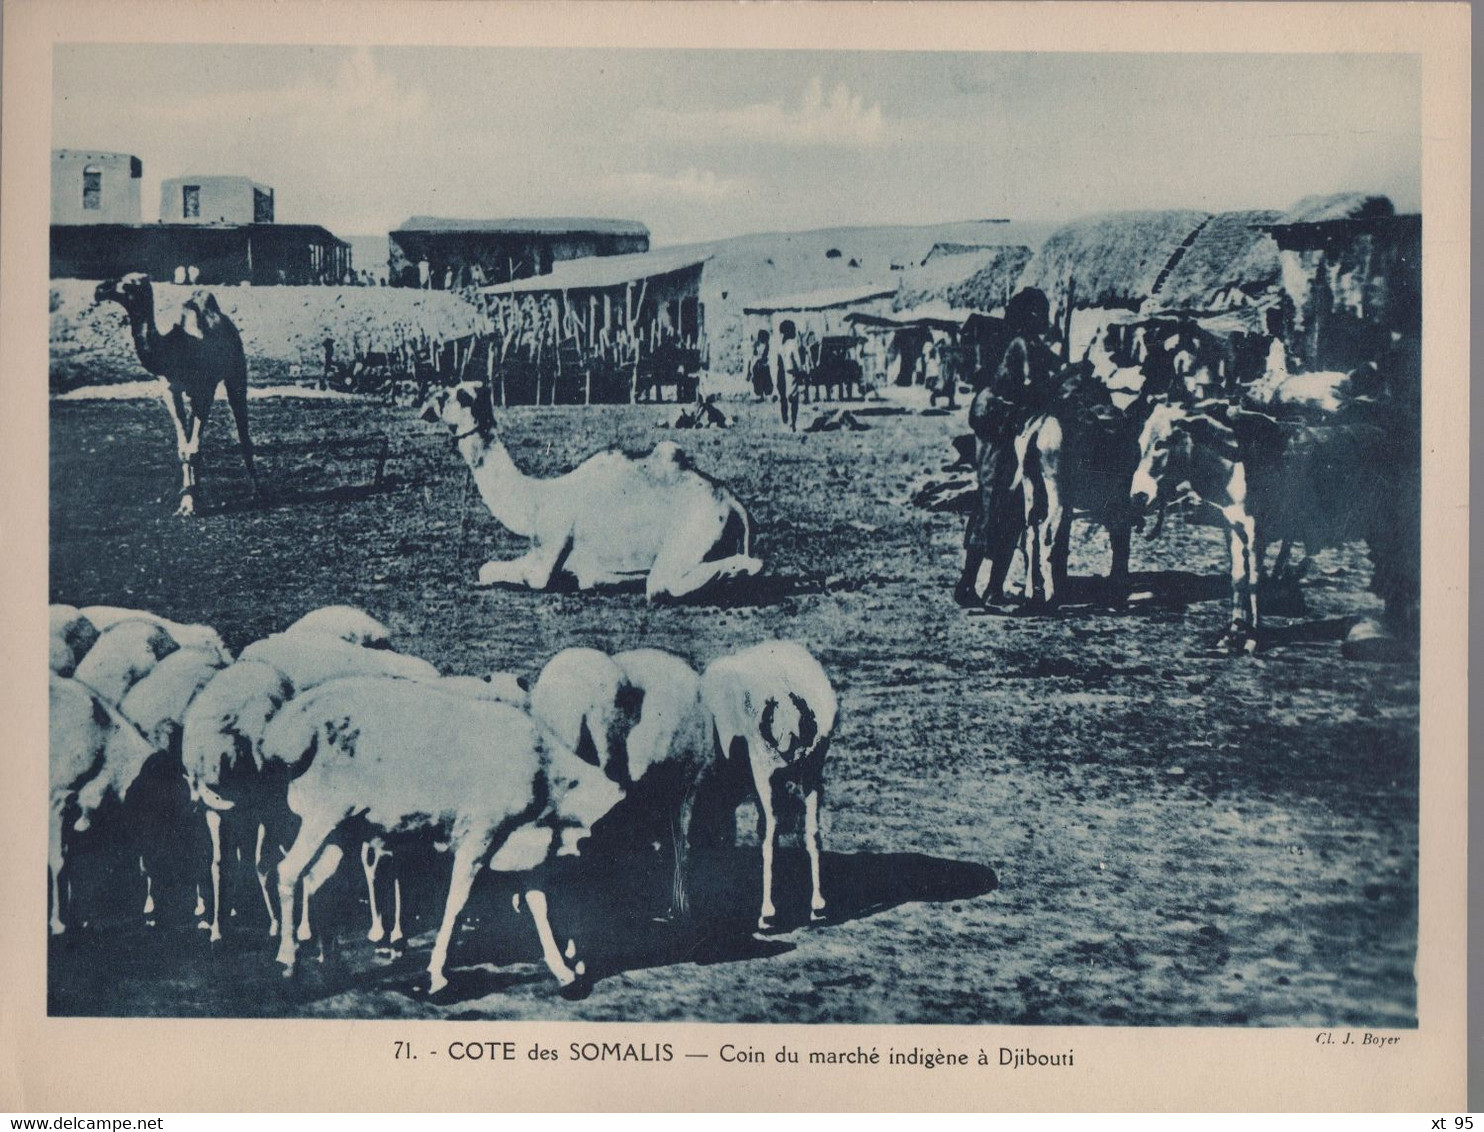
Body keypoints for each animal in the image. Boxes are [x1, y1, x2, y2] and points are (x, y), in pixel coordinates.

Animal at [94, 277, 259, 516]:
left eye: (129, 284)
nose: (99, 290)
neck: (178, 349)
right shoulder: (170, 390)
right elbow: (184, 448)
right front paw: (187, 501)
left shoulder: (205, 389)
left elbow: (193, 448)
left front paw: (191, 504)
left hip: (236, 371)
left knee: (242, 429)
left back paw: (257, 490)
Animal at [264, 676, 623, 996]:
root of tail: (288, 727)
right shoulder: (478, 837)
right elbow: (456, 904)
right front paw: (436, 975)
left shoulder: (521, 842)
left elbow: (539, 905)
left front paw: (564, 972)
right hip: (325, 813)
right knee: (288, 871)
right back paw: (288, 960)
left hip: (344, 828)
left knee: (315, 879)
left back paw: (330, 962)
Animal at [697, 640, 836, 931]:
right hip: (811, 776)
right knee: (811, 831)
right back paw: (818, 907)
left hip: (767, 776)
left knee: (771, 833)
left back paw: (767, 914)